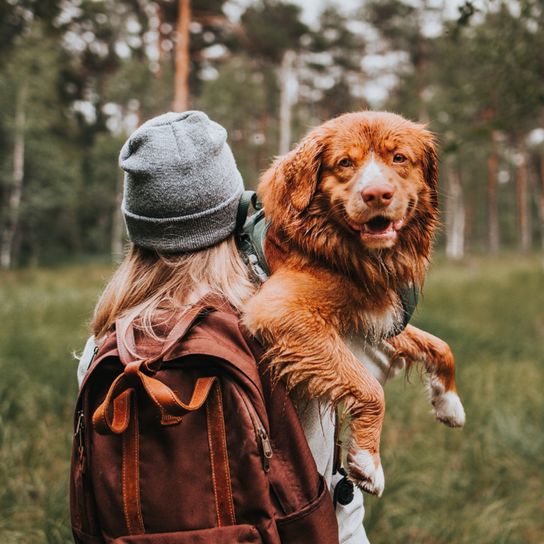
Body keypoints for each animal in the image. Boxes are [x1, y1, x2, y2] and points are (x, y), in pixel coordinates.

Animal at [244, 110, 466, 498]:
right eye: (345, 163)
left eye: (399, 158)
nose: (376, 194)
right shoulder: (280, 310)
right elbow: (369, 385)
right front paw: (368, 459)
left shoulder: (372, 315)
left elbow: (440, 345)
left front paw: (448, 401)